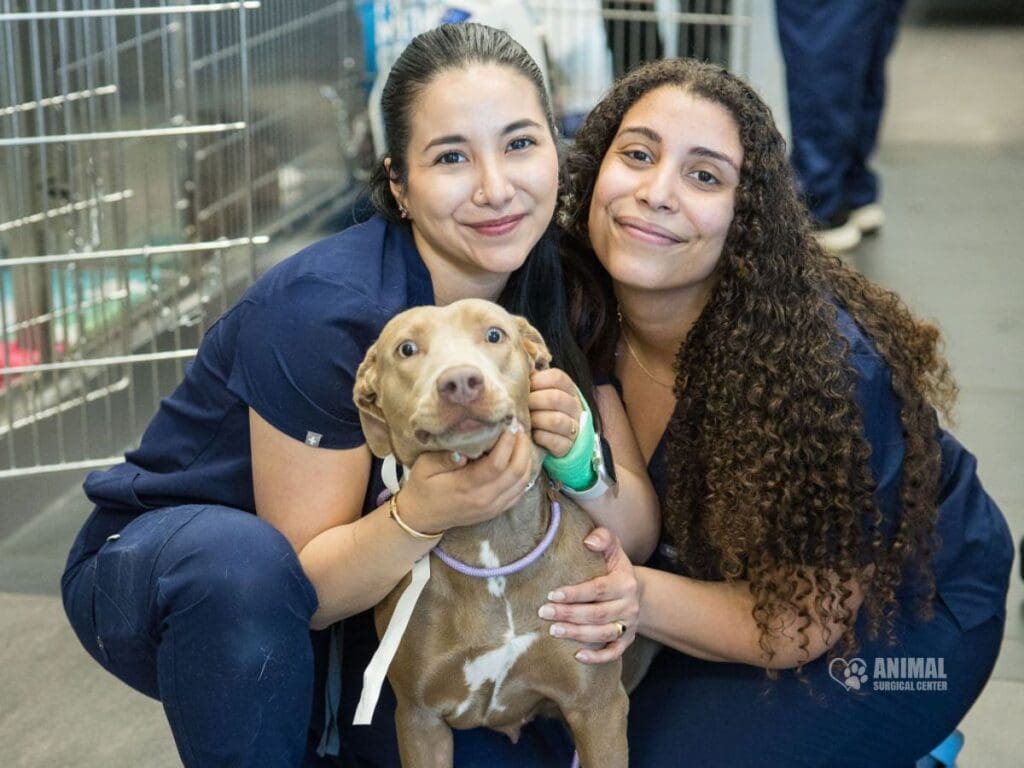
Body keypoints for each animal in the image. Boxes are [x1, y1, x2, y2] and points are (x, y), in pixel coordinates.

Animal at [356, 299, 634, 768]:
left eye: (494, 335)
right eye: (406, 348)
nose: (460, 383)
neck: (492, 545)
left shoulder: (599, 708)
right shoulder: (419, 719)